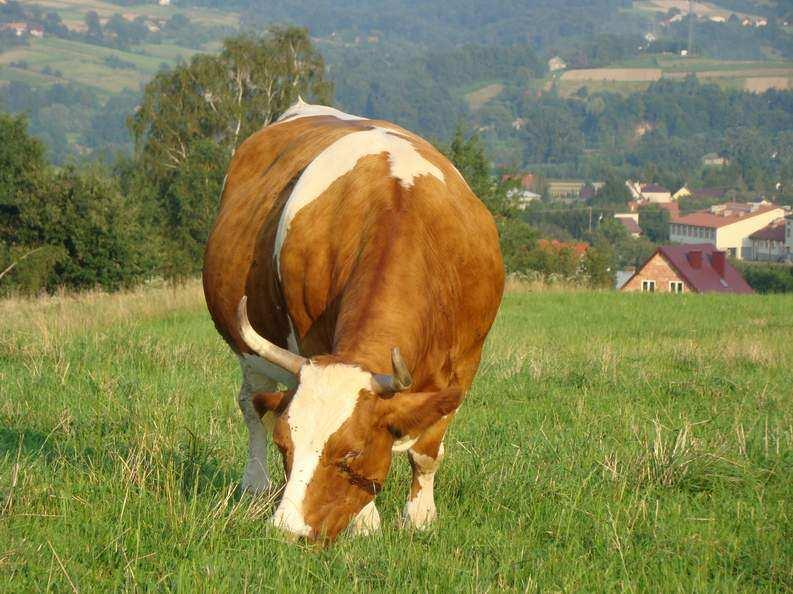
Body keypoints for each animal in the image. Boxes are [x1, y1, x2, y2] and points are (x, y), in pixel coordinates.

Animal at [203, 99, 502, 540]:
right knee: (252, 406)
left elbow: (426, 451)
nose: (287, 530)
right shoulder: (309, 342)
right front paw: (366, 522)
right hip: (250, 352)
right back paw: (255, 484)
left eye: (352, 452)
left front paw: (420, 518)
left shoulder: (465, 363)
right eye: (284, 446)